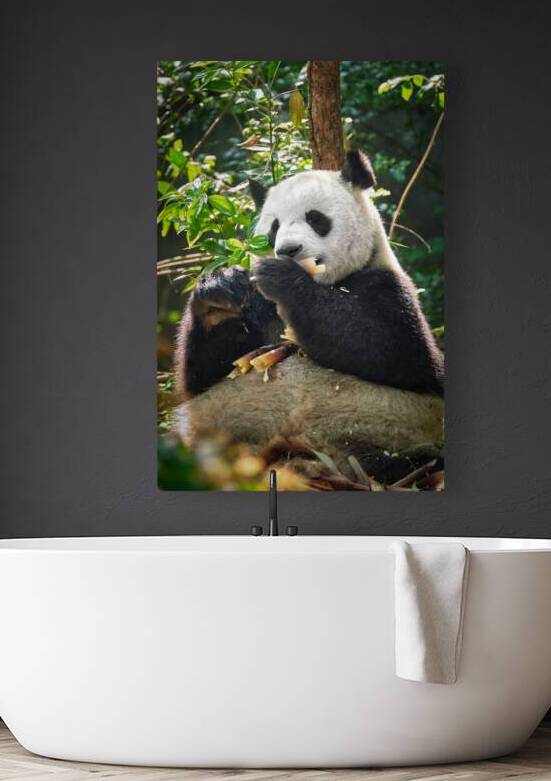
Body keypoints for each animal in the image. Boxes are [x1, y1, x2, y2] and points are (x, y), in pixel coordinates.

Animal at [173, 150, 444, 485]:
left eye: (315, 218)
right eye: (274, 227)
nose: (288, 250)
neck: (325, 282)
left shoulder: (387, 289)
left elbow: (390, 350)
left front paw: (283, 278)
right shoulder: (258, 307)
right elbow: (202, 376)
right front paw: (219, 290)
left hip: (388, 436)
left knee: (408, 461)